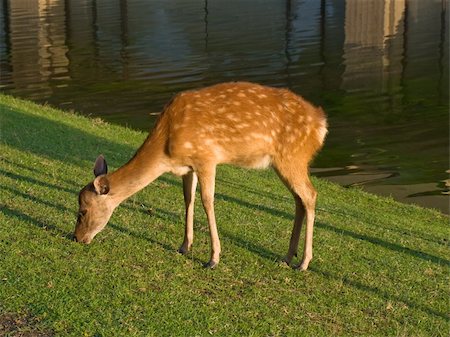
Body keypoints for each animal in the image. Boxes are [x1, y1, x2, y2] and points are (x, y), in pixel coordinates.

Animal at [74, 81, 326, 270]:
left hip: (292, 156)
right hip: (285, 162)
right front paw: (184, 246)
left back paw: (304, 262)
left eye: (83, 211)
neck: (166, 149)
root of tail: (321, 124)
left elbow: (207, 201)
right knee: (299, 199)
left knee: (310, 195)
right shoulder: (187, 167)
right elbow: (188, 199)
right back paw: (287, 256)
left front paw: (213, 258)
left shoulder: (206, 157)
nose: (76, 237)